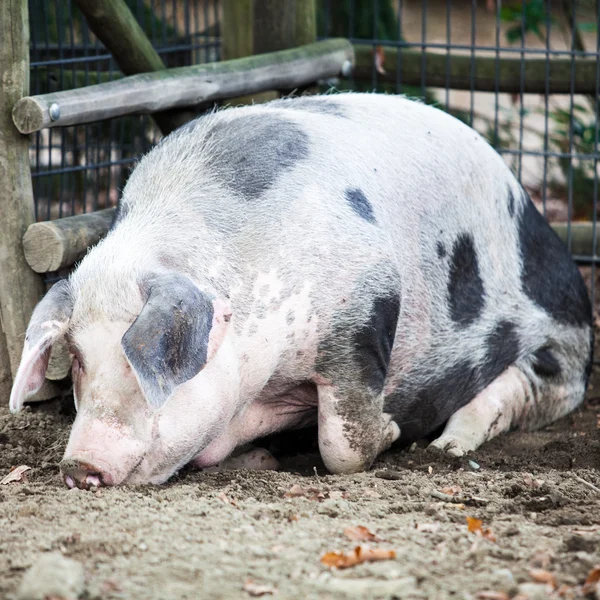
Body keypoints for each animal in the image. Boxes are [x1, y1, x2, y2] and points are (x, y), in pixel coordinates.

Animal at [7, 92, 592, 488]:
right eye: (77, 358)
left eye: (139, 357)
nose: (79, 465)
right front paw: (261, 458)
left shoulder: (366, 304)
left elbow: (342, 443)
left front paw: (391, 433)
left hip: (558, 347)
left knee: (519, 391)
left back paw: (446, 448)